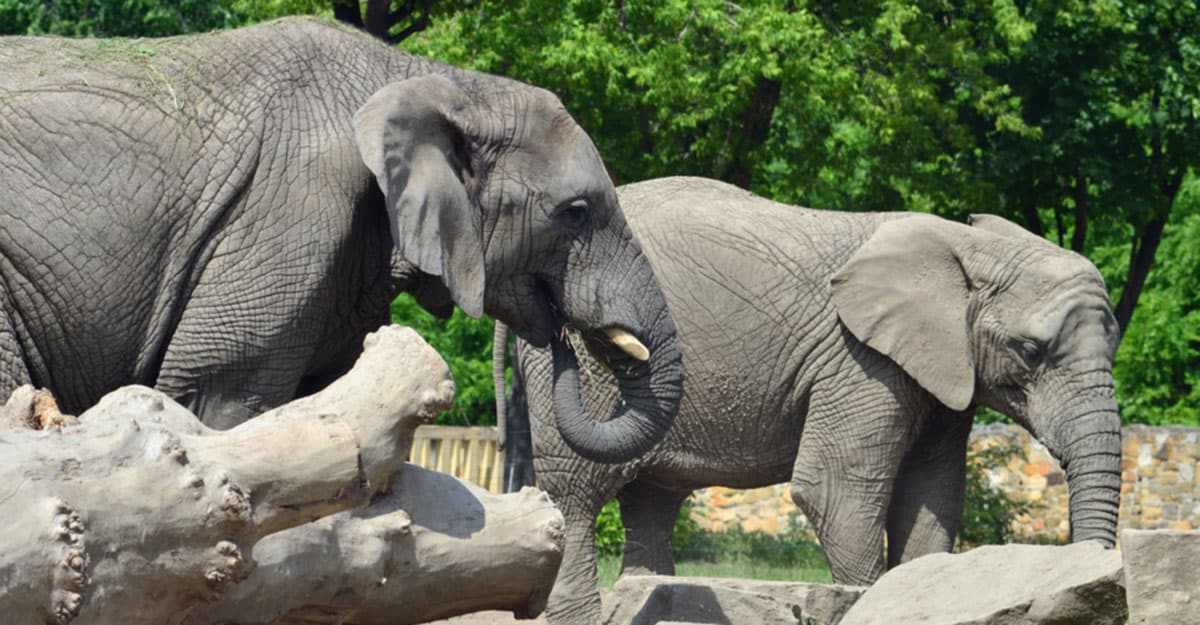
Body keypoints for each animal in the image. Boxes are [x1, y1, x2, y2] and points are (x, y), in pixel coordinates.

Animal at [507, 176, 1123, 624]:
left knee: (652, 501)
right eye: (1030, 351)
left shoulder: (939, 371)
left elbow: (932, 498)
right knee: (577, 496)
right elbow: (835, 490)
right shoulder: (858, 361)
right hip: (590, 376)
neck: (966, 246)